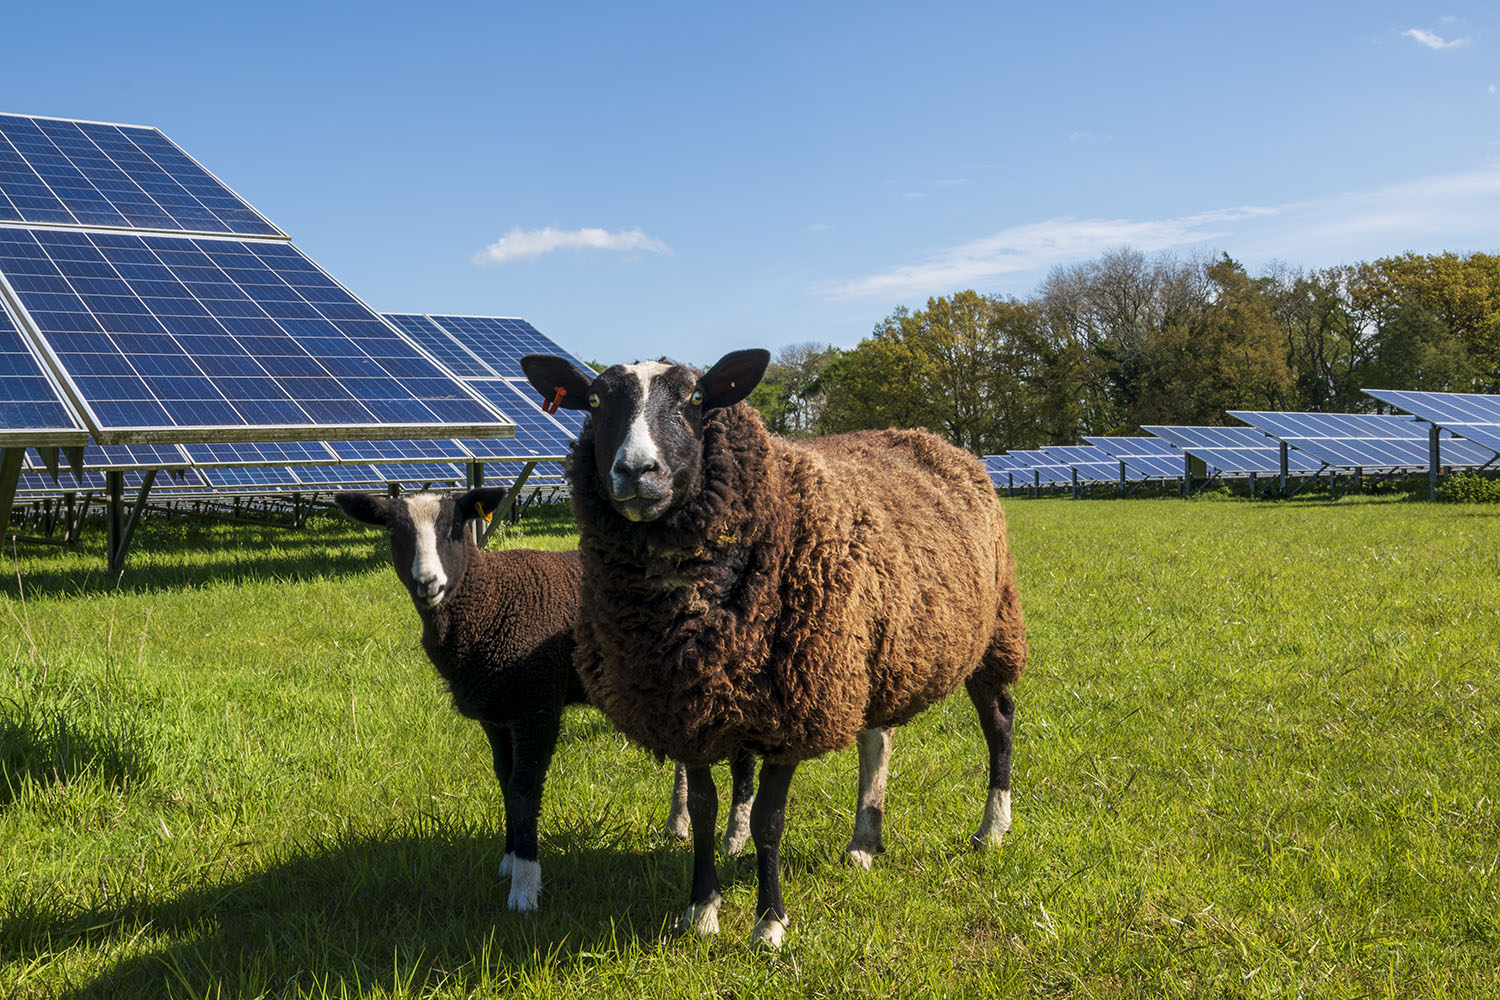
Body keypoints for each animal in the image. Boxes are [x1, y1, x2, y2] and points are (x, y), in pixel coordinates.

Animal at [336, 491, 762, 917]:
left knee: (743, 760)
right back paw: (680, 823)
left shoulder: (536, 705)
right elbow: (505, 781)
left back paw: (734, 838)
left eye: (455, 527)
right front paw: (509, 860)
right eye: (395, 531)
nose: (428, 583)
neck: (488, 598)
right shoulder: (497, 716)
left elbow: (524, 790)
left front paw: (525, 888)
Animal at [522, 347, 1026, 953]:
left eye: (697, 398)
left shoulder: (796, 706)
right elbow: (703, 807)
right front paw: (702, 910)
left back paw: (992, 828)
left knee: (999, 723)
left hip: (991, 632)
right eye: (594, 401)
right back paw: (864, 840)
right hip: (871, 653)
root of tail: (929, 438)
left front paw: (769, 924)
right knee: (877, 740)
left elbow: (769, 818)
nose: (637, 471)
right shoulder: (687, 705)